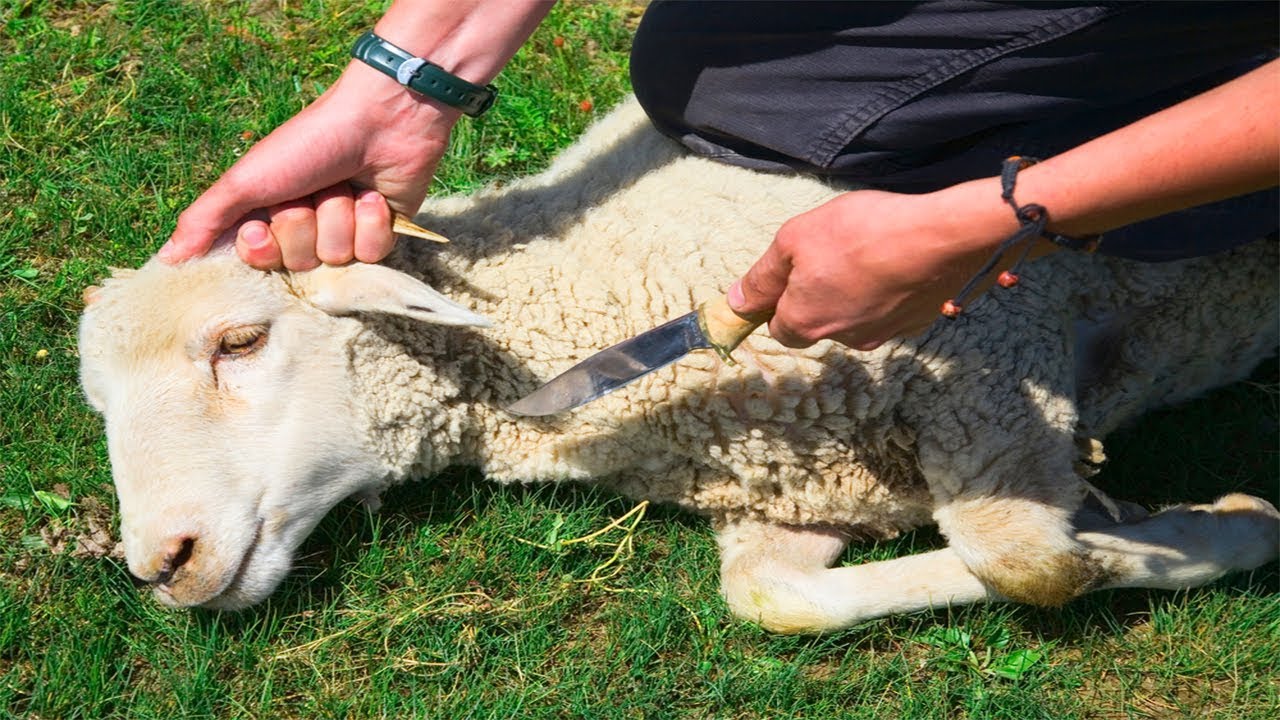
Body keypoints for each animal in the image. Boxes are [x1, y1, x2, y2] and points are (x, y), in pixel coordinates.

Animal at [80, 95, 1280, 627]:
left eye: (241, 339)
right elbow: (772, 601)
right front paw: (1181, 528)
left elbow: (1028, 560)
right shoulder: (795, 484)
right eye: (97, 401)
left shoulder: (991, 355)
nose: (160, 562)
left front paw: (1216, 528)